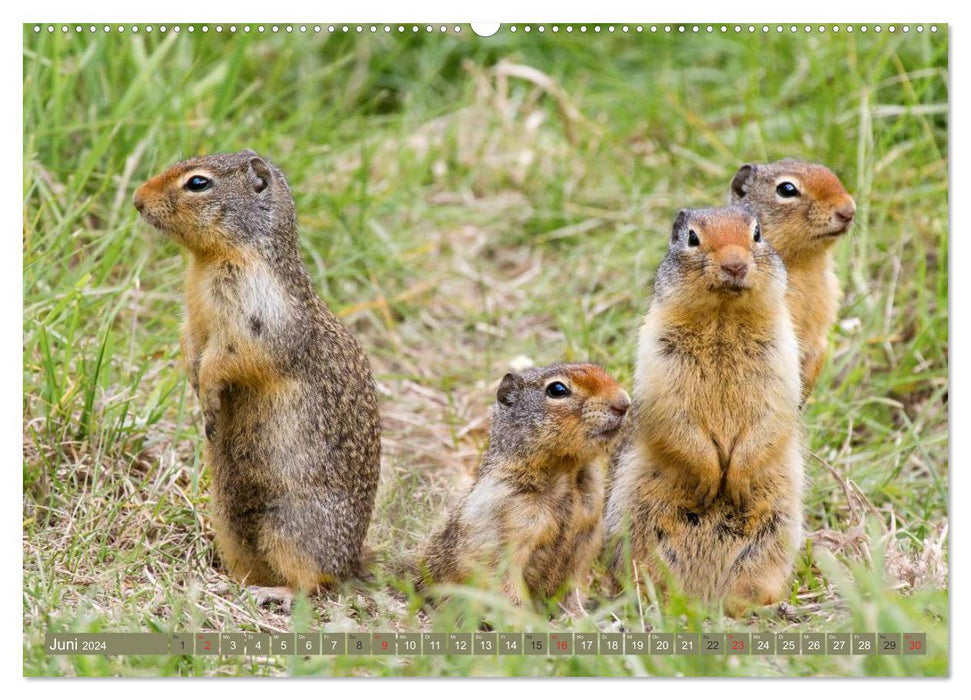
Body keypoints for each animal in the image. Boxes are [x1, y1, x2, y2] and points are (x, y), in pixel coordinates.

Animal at [133, 150, 380, 604]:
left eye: (198, 183)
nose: (137, 199)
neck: (210, 261)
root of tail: (353, 562)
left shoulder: (253, 320)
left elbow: (228, 358)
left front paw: (208, 399)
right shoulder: (193, 316)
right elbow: (189, 341)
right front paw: (193, 383)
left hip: (291, 527)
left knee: (316, 584)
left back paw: (273, 593)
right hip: (228, 515)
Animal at [424, 364, 632, 608]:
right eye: (557, 389)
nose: (624, 403)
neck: (566, 474)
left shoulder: (588, 534)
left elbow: (574, 586)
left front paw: (579, 612)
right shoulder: (512, 520)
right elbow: (504, 580)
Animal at [608, 205, 804, 616]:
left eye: (757, 233)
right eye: (692, 238)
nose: (734, 264)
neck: (722, 317)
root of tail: (704, 600)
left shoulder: (783, 356)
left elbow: (772, 414)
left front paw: (736, 481)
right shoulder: (658, 359)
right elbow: (675, 417)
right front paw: (711, 480)